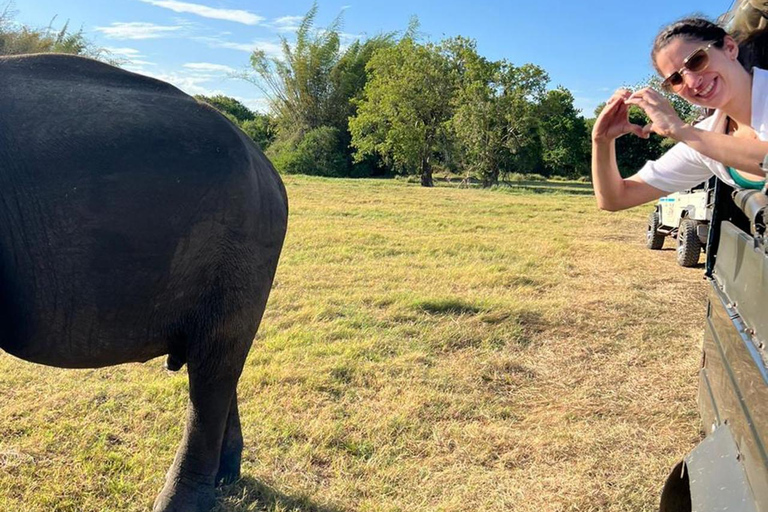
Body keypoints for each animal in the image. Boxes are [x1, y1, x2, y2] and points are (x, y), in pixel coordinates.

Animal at [0, 53, 288, 512]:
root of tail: (270, 171)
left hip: (243, 247)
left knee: (213, 368)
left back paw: (181, 502)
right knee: (223, 363)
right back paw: (226, 477)